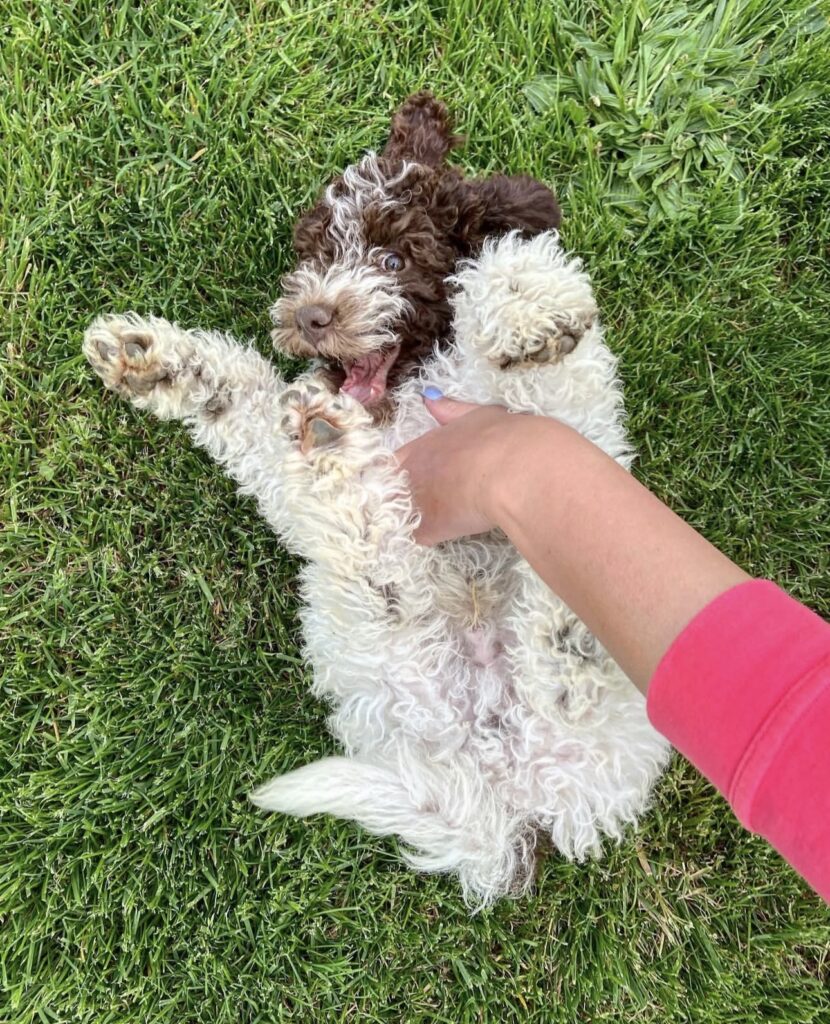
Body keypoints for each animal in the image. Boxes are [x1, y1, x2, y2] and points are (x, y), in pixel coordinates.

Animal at [83, 96, 670, 907]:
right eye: (315, 256)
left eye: (393, 260)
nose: (312, 317)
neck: (406, 392)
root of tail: (503, 800)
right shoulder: (290, 462)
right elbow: (248, 407)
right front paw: (153, 361)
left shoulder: (552, 417)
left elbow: (547, 369)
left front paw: (522, 301)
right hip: (378, 650)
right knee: (381, 571)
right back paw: (332, 458)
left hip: (607, 713)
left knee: (570, 690)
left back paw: (566, 635)